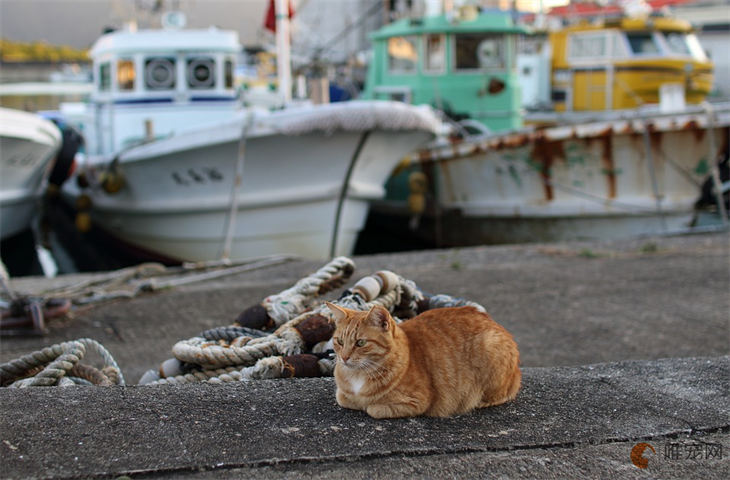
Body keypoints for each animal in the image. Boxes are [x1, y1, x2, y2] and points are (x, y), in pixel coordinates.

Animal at [324, 302, 516, 418]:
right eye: (340, 341)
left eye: (360, 343)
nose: (344, 357)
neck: (358, 376)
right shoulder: (343, 395)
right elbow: (343, 398)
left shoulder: (417, 401)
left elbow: (373, 408)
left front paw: (368, 405)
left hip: (490, 347)